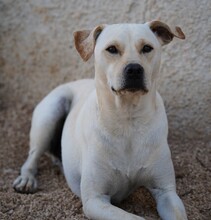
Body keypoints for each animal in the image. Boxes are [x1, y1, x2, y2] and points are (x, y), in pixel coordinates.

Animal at [14, 20, 187, 218]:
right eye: (111, 49)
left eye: (147, 48)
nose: (134, 69)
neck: (128, 119)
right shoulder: (94, 200)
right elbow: (131, 217)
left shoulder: (166, 191)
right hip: (50, 113)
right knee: (33, 155)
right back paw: (26, 179)